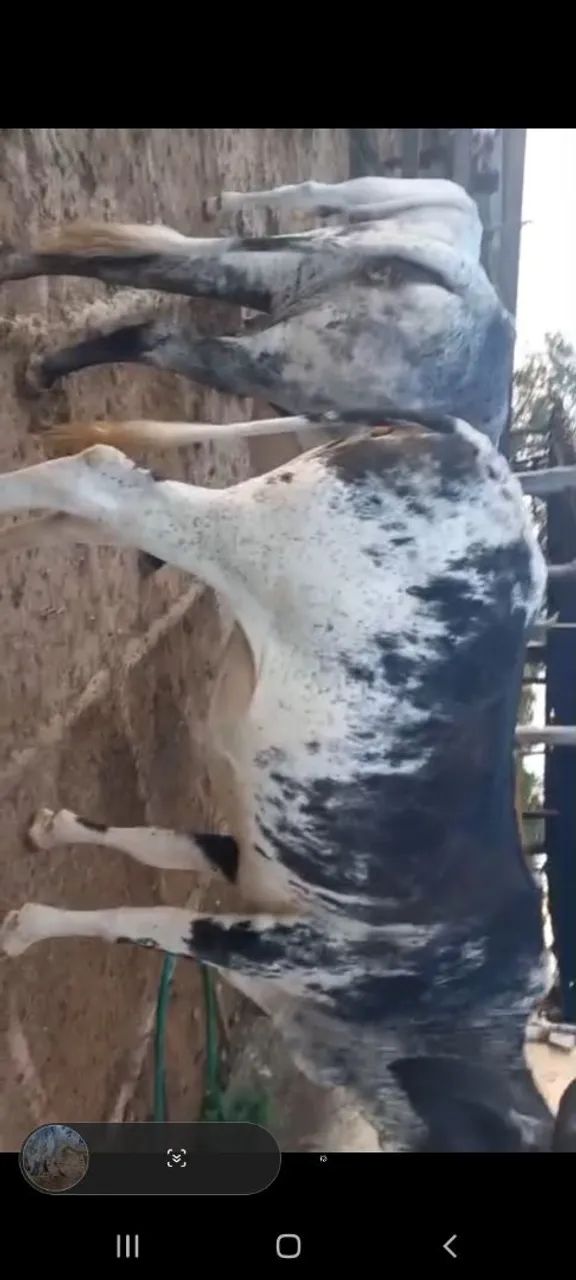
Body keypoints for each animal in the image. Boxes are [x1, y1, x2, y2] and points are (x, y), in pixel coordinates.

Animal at [1, 412, 575, 1152]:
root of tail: (482, 454)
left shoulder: (248, 867)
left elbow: (151, 845)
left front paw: (55, 829)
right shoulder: (293, 947)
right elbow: (144, 921)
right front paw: (27, 928)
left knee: (88, 518)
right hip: (245, 544)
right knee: (100, 480)